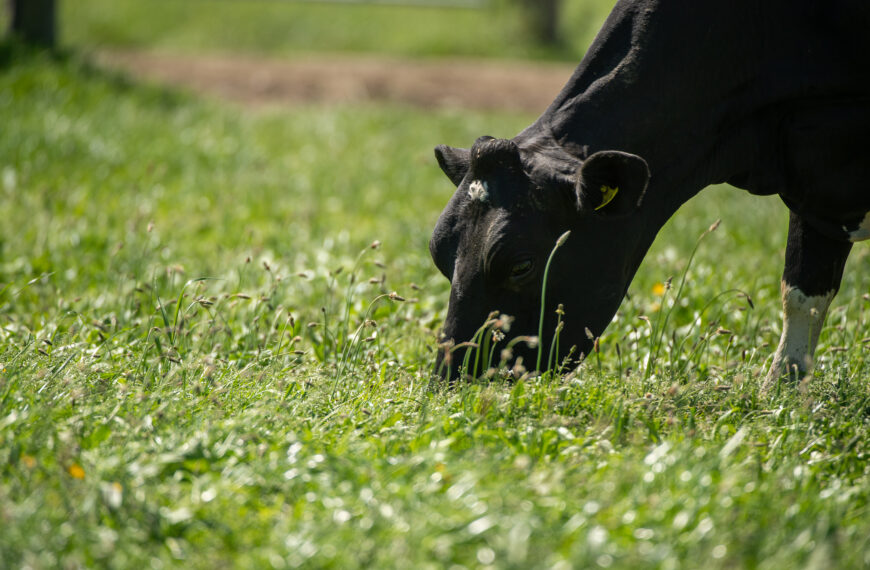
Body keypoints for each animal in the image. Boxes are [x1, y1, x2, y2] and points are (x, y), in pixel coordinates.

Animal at [430, 0, 870, 390]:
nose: (451, 380)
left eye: (521, 264)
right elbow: (801, 294)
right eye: (439, 254)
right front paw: (782, 394)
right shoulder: (814, 191)